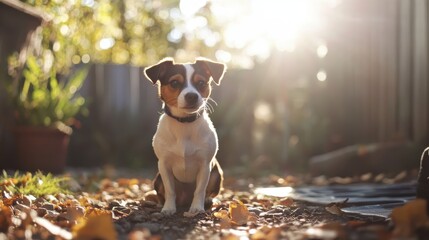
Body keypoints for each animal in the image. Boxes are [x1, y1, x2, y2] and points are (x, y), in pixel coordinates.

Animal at [144, 57, 226, 216]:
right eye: (175, 83)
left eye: (201, 83)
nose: (192, 96)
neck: (184, 123)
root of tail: (184, 200)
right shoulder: (164, 165)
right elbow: (170, 190)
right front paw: (168, 208)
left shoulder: (205, 165)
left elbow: (200, 190)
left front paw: (197, 208)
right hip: (158, 178)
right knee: (162, 194)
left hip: (216, 173)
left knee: (208, 192)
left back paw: (208, 201)